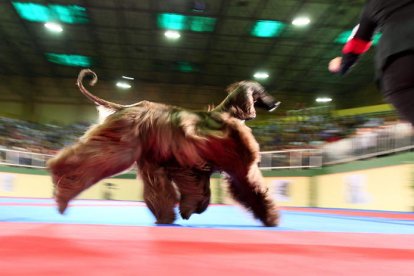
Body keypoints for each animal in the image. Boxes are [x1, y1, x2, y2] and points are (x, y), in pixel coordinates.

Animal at [47, 69, 282, 226]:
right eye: (262, 91)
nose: (277, 103)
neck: (226, 114)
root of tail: (126, 107)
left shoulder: (192, 166)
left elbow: (204, 192)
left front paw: (188, 210)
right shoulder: (225, 165)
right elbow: (249, 188)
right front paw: (270, 217)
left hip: (146, 157)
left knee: (156, 189)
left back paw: (165, 217)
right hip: (119, 145)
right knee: (84, 162)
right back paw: (61, 191)